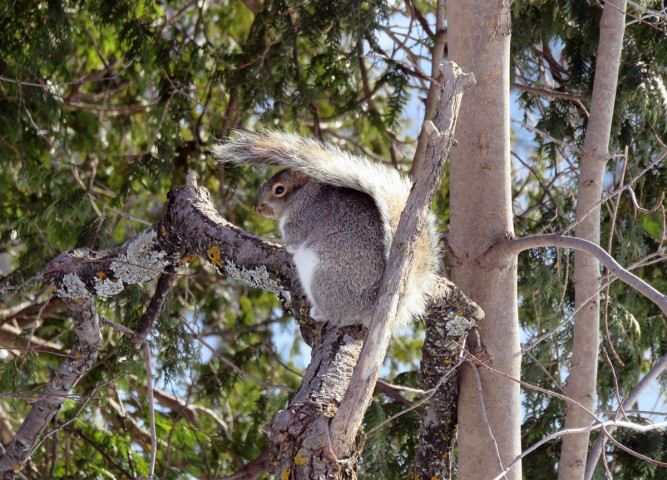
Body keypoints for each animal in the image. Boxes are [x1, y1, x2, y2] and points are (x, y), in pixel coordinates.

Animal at [214, 129, 440, 328]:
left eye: (279, 189)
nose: (257, 208)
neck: (303, 193)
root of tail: (370, 308)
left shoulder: (303, 218)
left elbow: (292, 242)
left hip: (322, 278)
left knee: (339, 317)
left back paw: (320, 313)